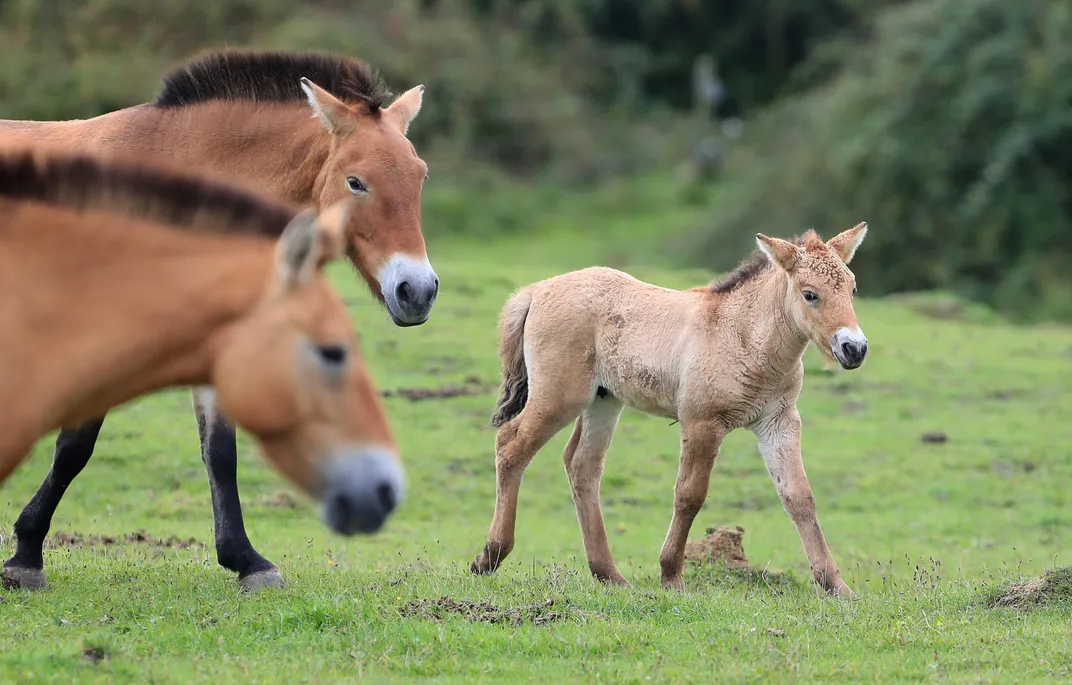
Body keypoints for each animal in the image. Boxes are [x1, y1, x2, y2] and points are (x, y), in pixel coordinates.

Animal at [1, 49, 435, 591]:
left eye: (420, 175)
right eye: (356, 182)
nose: (418, 290)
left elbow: (220, 452)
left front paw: (248, 561)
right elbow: (74, 448)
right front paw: (25, 554)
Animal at [471, 224, 870, 596]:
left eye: (852, 289)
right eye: (810, 294)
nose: (854, 348)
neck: (742, 334)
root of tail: (538, 290)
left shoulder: (779, 422)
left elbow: (799, 496)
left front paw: (837, 586)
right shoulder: (702, 422)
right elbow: (690, 495)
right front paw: (671, 576)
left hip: (603, 400)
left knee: (582, 465)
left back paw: (609, 574)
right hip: (558, 397)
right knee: (511, 445)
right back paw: (490, 556)